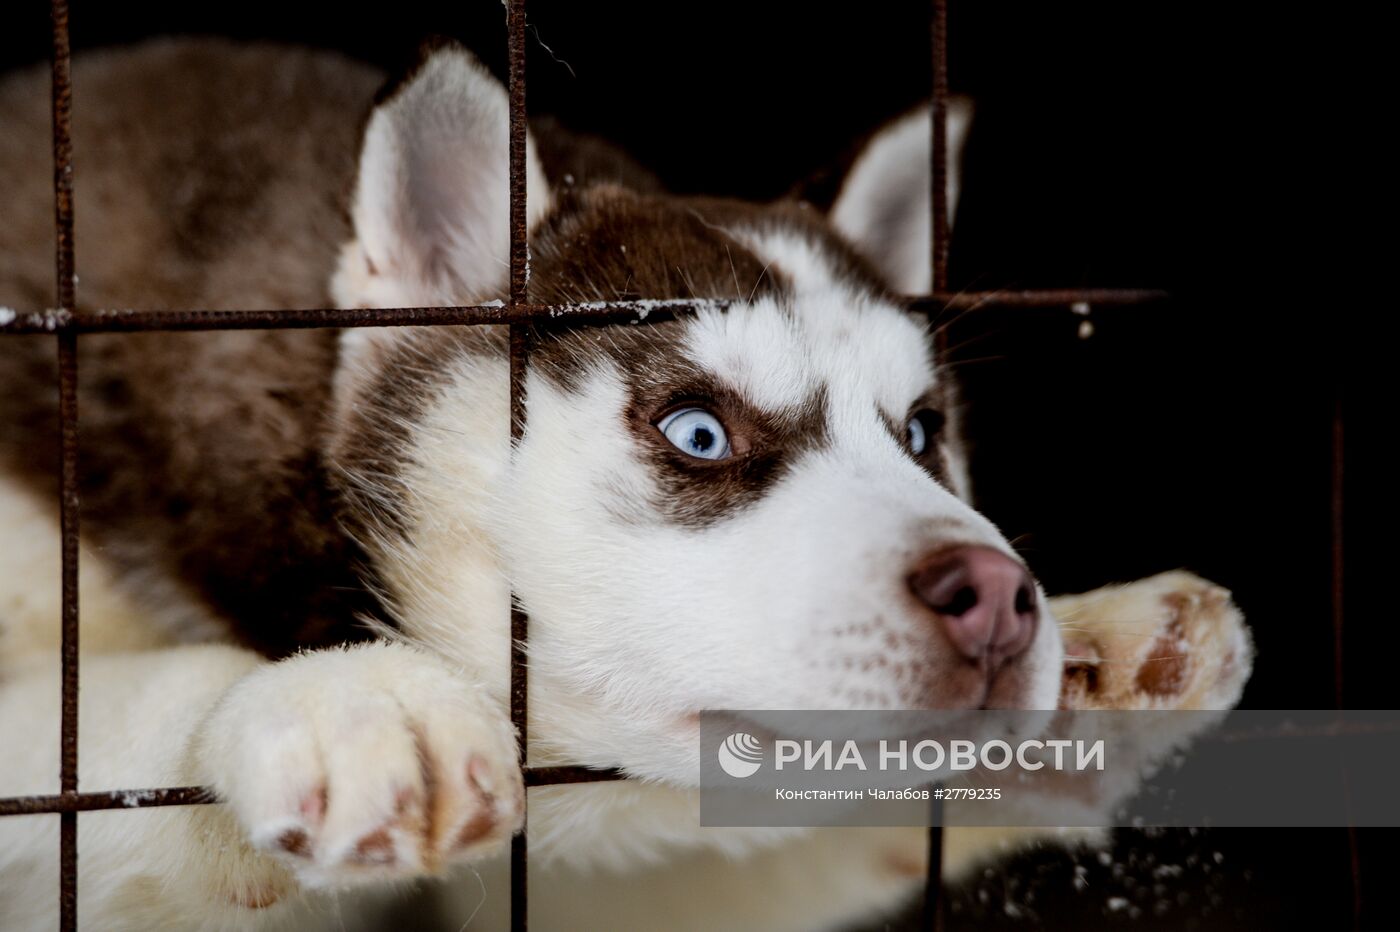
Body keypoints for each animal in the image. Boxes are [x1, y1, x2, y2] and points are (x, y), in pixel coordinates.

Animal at [0, 38, 1248, 929]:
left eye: (921, 431)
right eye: (696, 430)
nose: (996, 600)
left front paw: (1101, 656)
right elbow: (99, 703)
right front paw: (337, 695)